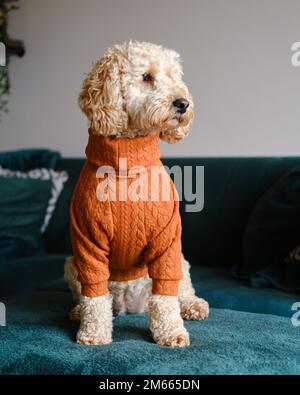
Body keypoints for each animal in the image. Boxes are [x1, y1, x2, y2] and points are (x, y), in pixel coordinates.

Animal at [65, 41, 209, 348]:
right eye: (146, 77)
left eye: (174, 76)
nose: (183, 103)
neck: (126, 167)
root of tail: (131, 306)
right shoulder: (86, 240)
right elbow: (94, 297)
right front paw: (93, 332)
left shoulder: (167, 239)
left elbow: (165, 298)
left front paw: (171, 332)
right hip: (71, 263)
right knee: (92, 296)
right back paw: (77, 311)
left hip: (180, 260)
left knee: (180, 289)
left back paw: (193, 305)